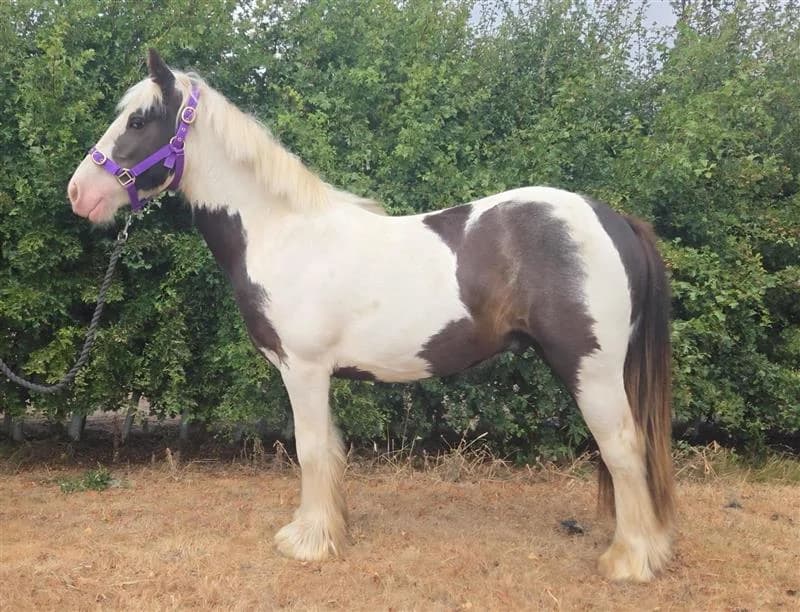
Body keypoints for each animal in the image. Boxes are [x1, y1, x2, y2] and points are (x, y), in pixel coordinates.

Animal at [68, 50, 675, 582]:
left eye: (139, 118)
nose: (78, 192)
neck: (282, 233)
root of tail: (613, 219)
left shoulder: (304, 370)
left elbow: (311, 449)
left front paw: (308, 542)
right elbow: (330, 450)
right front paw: (327, 530)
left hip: (590, 370)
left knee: (623, 447)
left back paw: (631, 560)